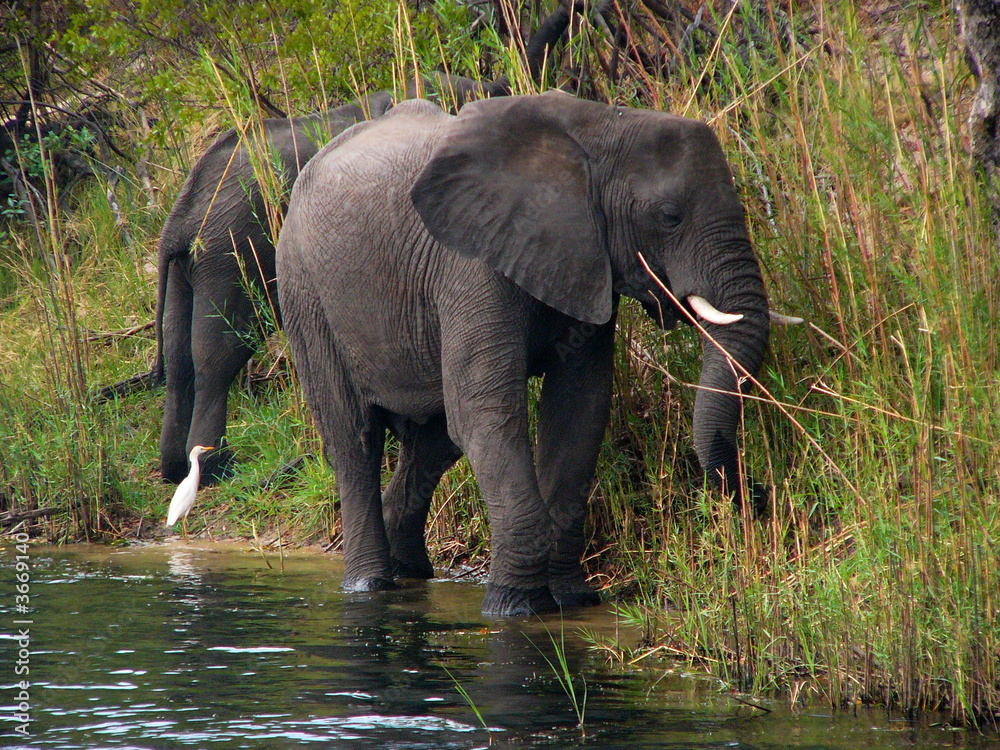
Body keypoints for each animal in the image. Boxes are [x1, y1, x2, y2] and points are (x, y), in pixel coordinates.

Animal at [153, 6, 575, 485]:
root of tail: (180, 218)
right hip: (229, 249)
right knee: (219, 354)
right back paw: (218, 466)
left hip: (188, 267)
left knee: (179, 359)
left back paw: (176, 467)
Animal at [275, 91, 772, 618]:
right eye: (669, 216)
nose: (758, 493)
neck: (600, 127)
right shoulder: (471, 266)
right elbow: (488, 414)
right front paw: (513, 607)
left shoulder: (586, 263)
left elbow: (579, 410)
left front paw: (573, 598)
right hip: (304, 293)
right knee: (355, 438)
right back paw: (368, 585)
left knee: (435, 441)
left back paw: (410, 573)